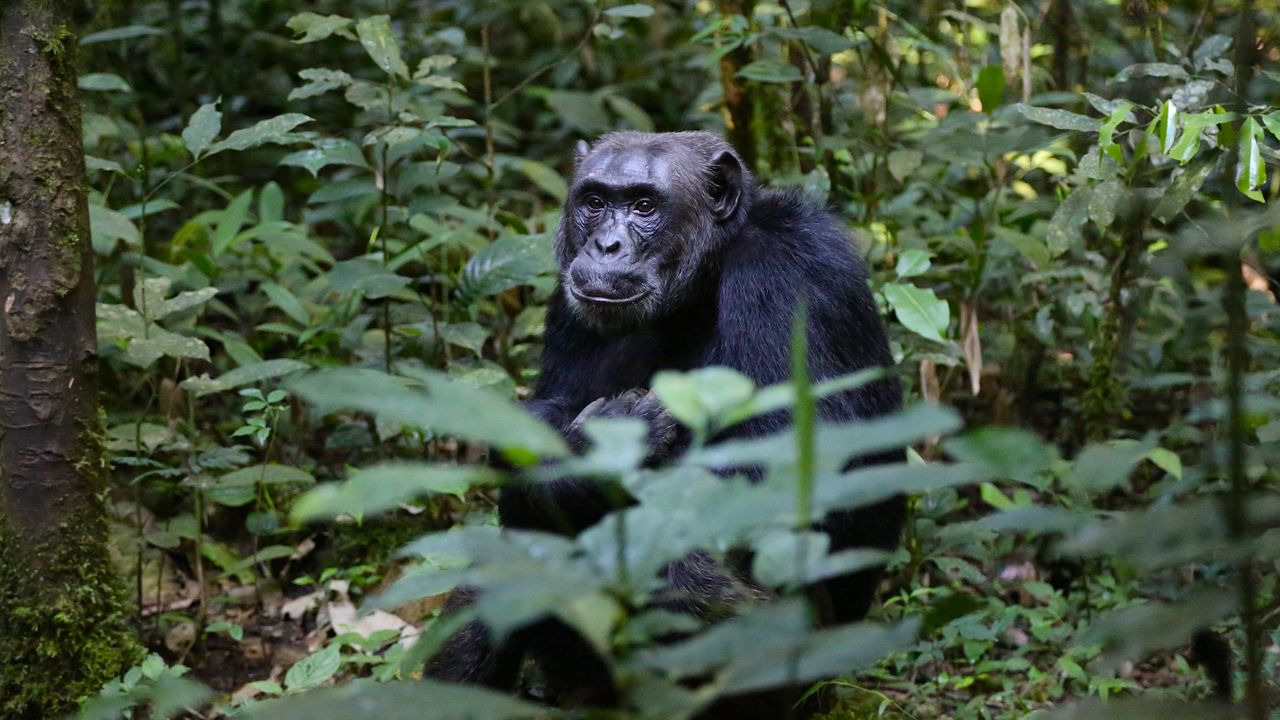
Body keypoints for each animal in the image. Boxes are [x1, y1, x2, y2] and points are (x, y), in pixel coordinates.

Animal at [430, 131, 901, 707]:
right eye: (594, 202)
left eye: (644, 206)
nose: (606, 245)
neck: (703, 279)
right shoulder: (567, 300)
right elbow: (545, 415)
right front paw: (584, 453)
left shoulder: (793, 274)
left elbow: (797, 467)